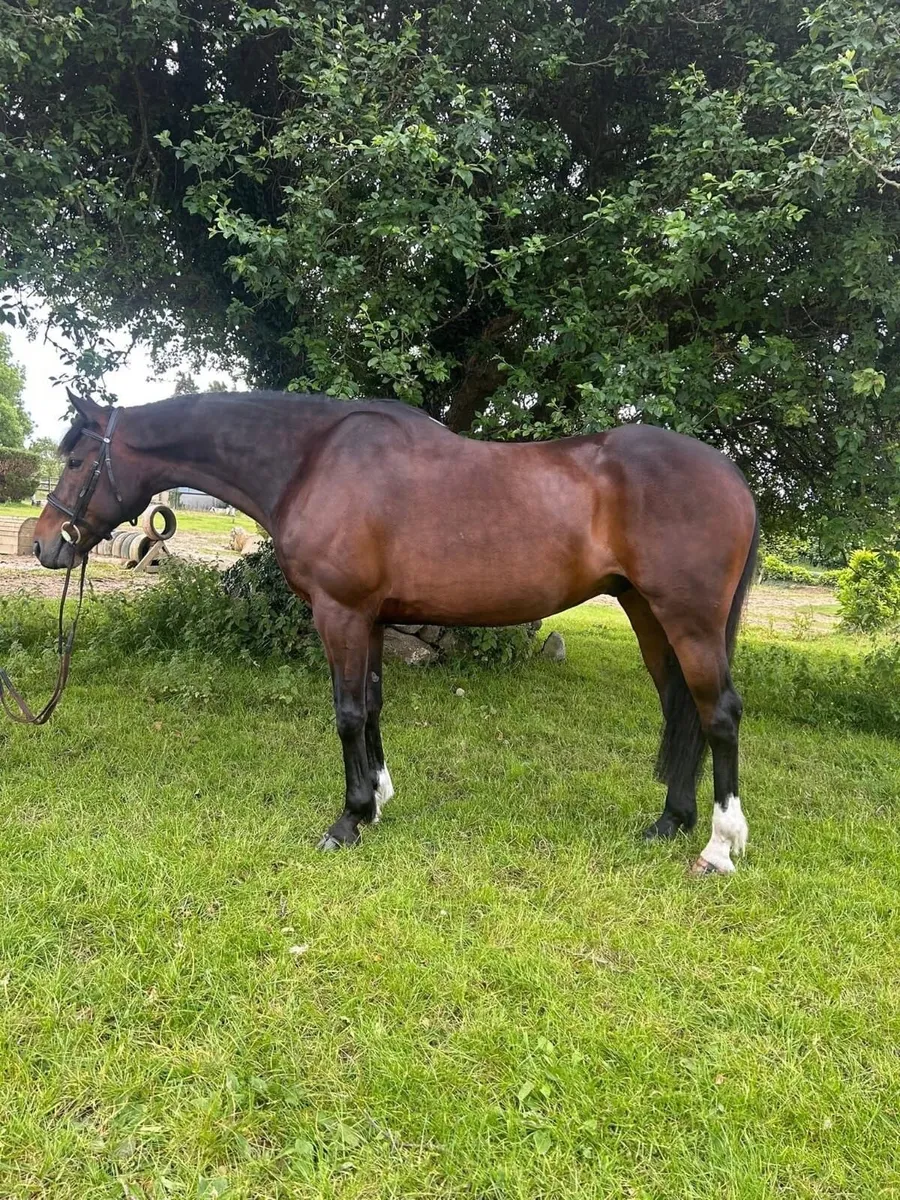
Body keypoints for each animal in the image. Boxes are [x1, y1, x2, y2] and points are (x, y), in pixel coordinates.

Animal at [33, 389, 759, 875]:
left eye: (75, 461)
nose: (45, 544)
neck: (311, 459)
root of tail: (732, 476)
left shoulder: (340, 613)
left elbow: (349, 712)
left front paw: (347, 820)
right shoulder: (373, 619)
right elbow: (375, 705)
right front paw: (377, 802)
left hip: (688, 619)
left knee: (718, 713)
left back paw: (719, 846)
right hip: (647, 612)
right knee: (681, 707)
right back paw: (669, 822)